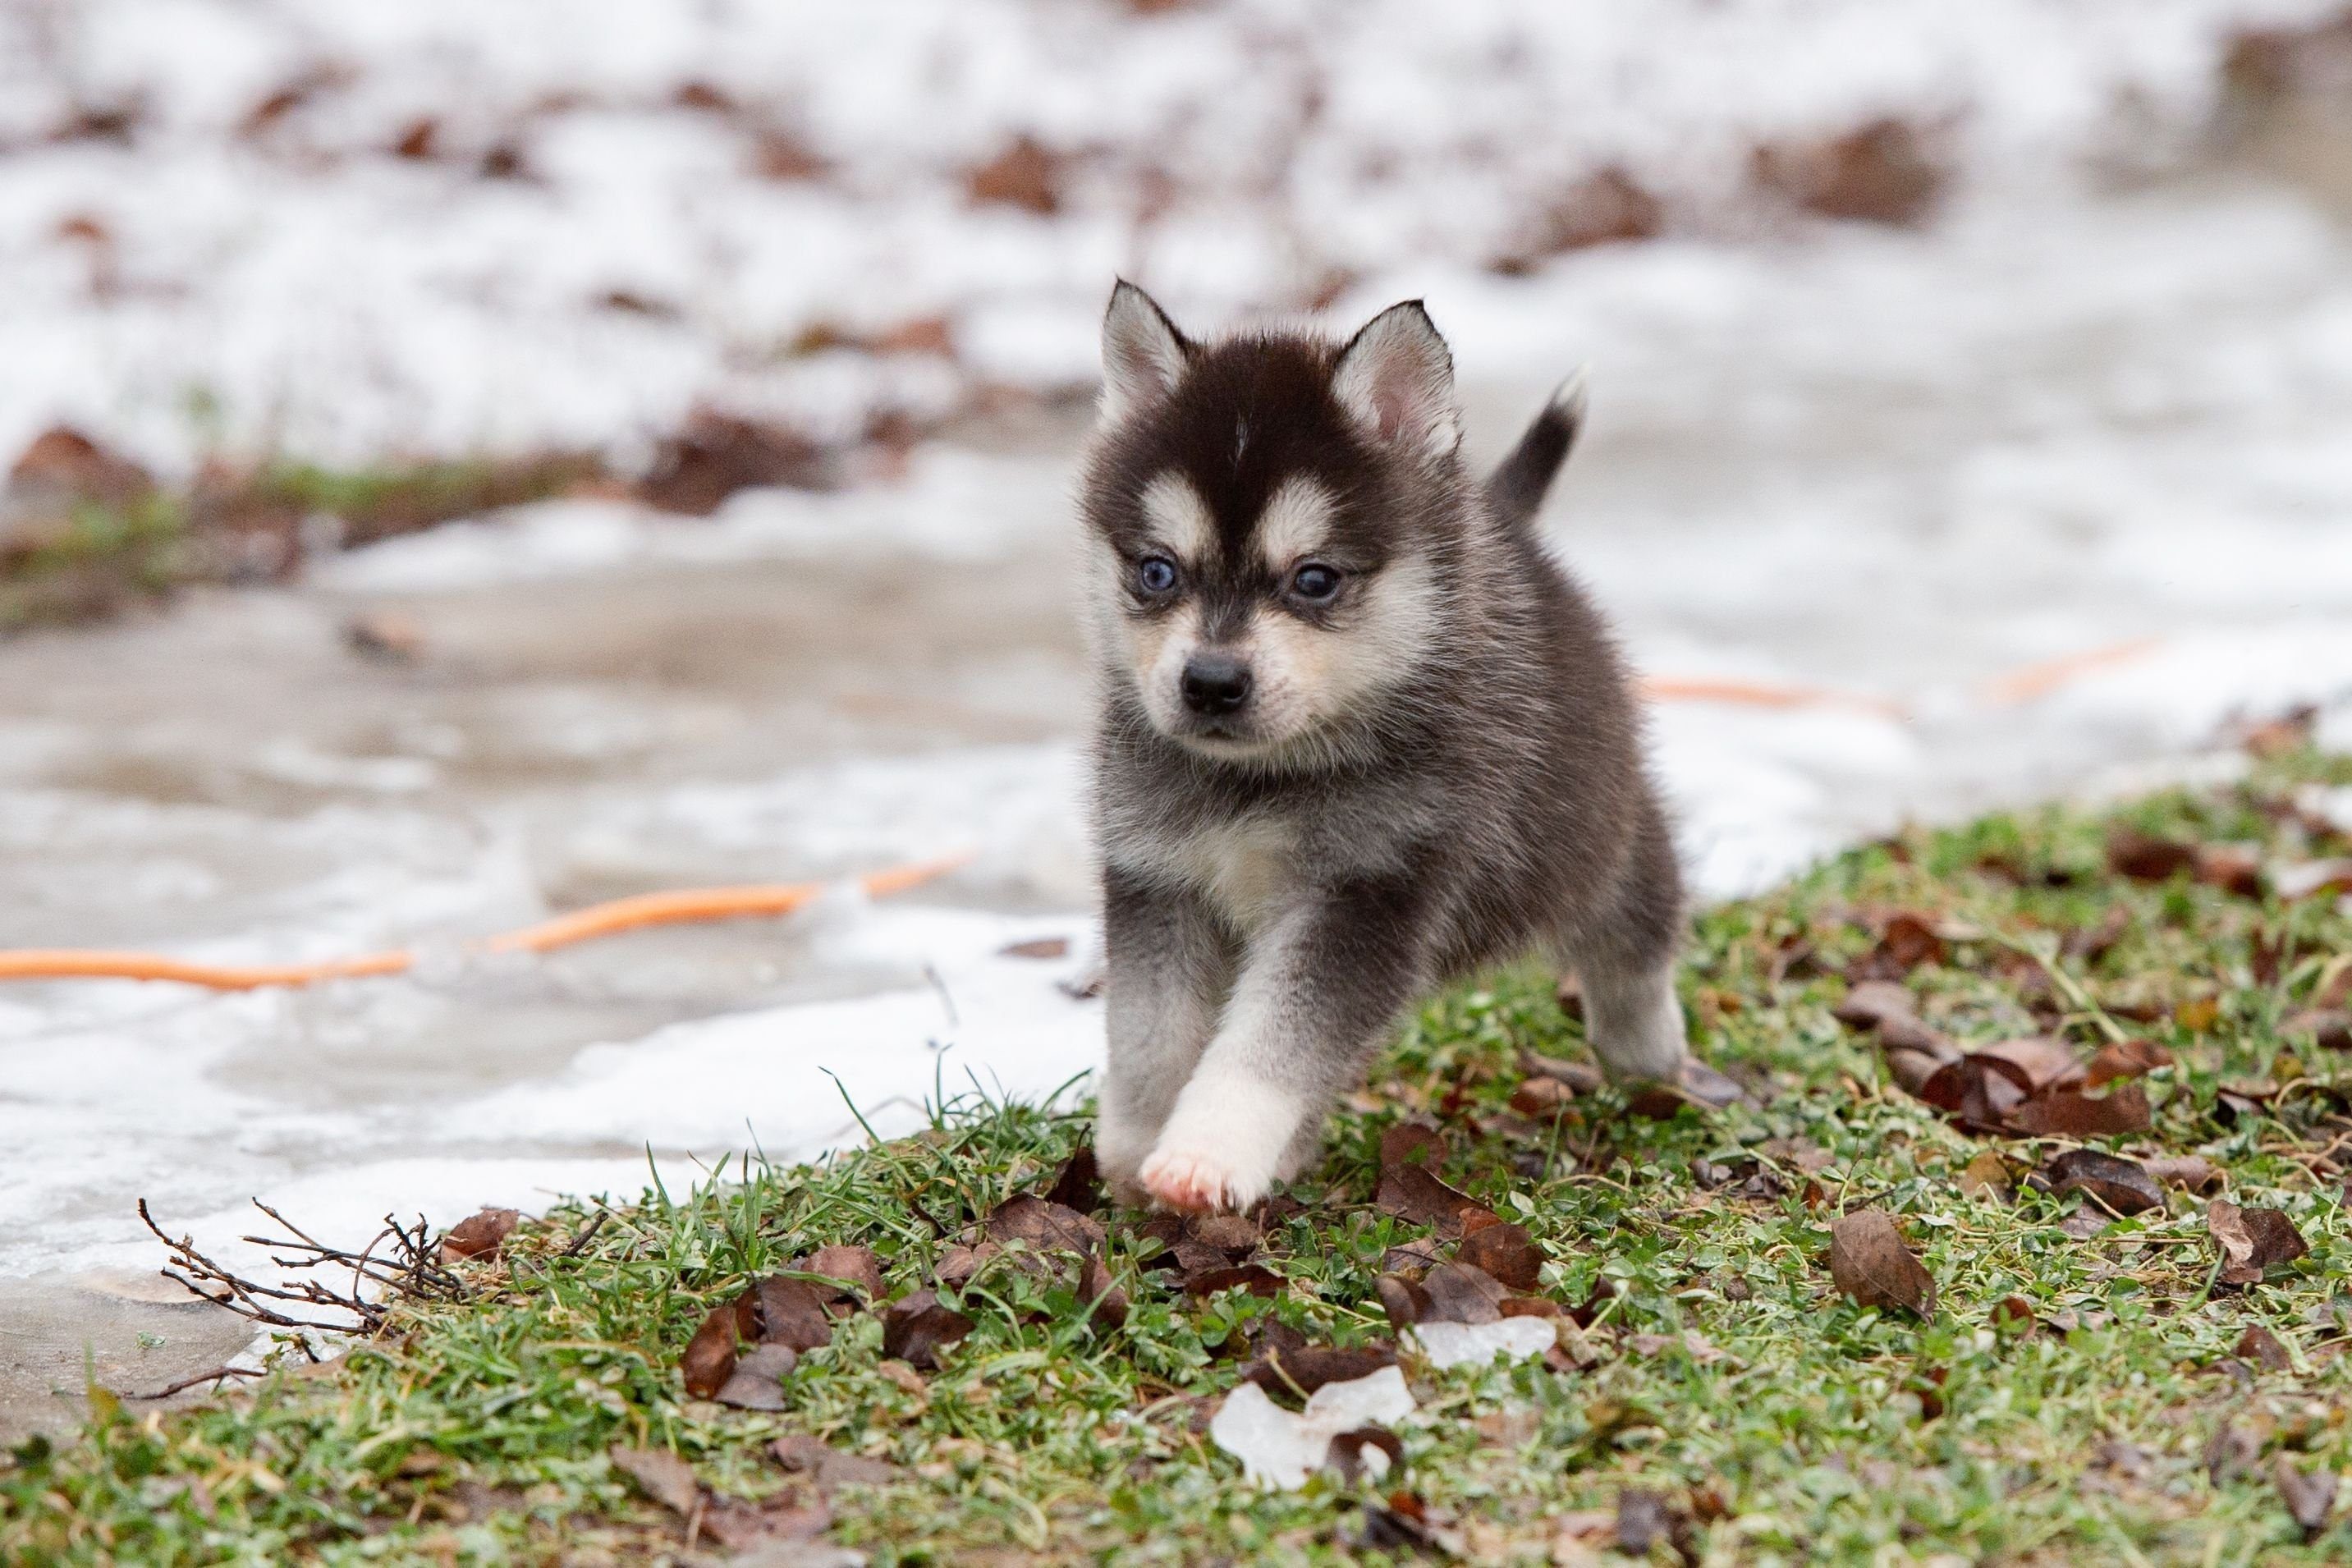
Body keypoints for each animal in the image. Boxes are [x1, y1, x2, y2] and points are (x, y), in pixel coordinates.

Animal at [1077, 282, 1684, 1213]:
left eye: (1315, 579)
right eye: (1157, 571)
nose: (1210, 683)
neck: (1264, 779)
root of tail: (1501, 525)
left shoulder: (1368, 894)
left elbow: (1271, 1045)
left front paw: (1204, 1155)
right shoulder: (1156, 879)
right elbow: (1147, 1031)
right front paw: (1137, 1146)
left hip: (1600, 835)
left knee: (1637, 937)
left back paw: (1648, 1049)